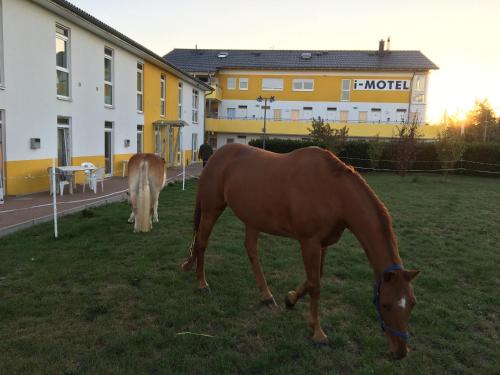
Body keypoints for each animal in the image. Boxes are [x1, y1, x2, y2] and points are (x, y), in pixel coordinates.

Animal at [182, 145, 420, 362]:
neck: (333, 191)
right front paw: (318, 333)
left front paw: (290, 299)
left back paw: (266, 296)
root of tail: (216, 156)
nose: (400, 352)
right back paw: (203, 283)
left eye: (411, 303)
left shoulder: (323, 244)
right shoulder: (309, 242)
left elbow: (315, 278)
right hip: (212, 209)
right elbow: (315, 285)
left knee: (251, 250)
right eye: (386, 304)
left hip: (253, 218)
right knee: (201, 243)